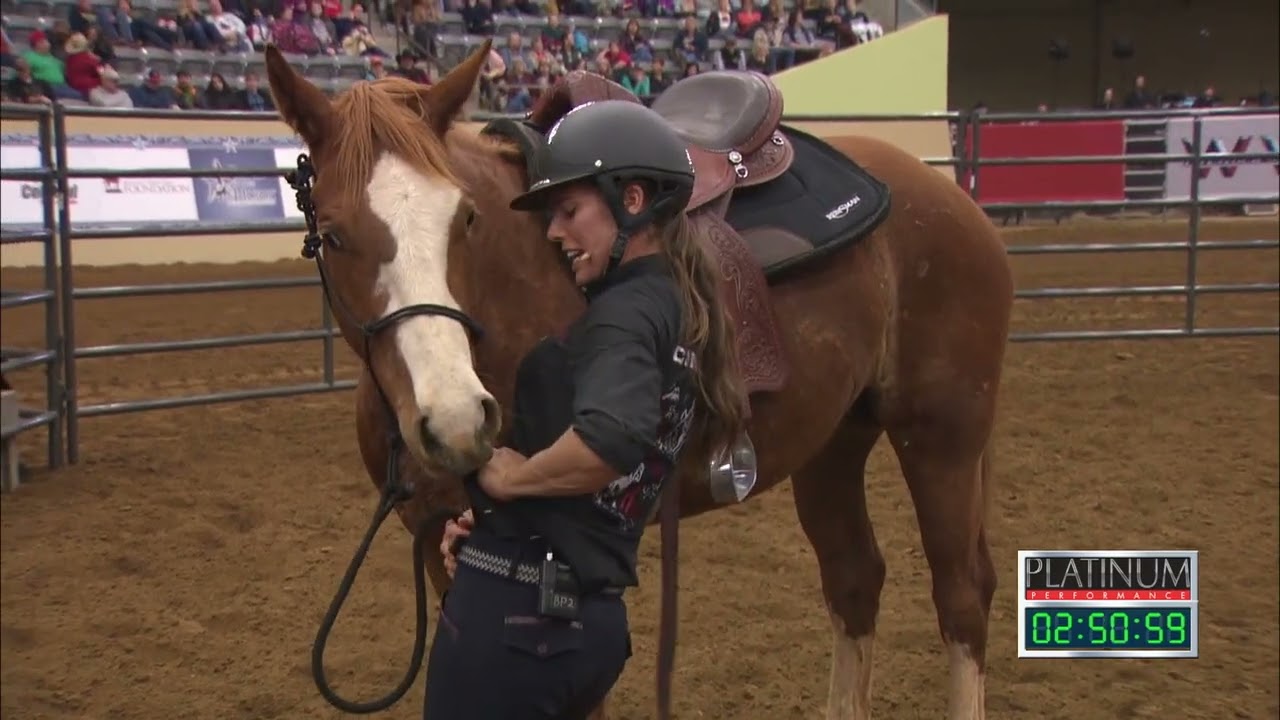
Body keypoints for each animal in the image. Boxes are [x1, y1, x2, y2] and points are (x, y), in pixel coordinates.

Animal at [263, 38, 1013, 720]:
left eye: (465, 218)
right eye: (334, 234)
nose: (456, 422)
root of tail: (947, 193)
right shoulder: (439, 546)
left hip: (942, 439)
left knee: (962, 594)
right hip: (833, 443)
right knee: (855, 578)